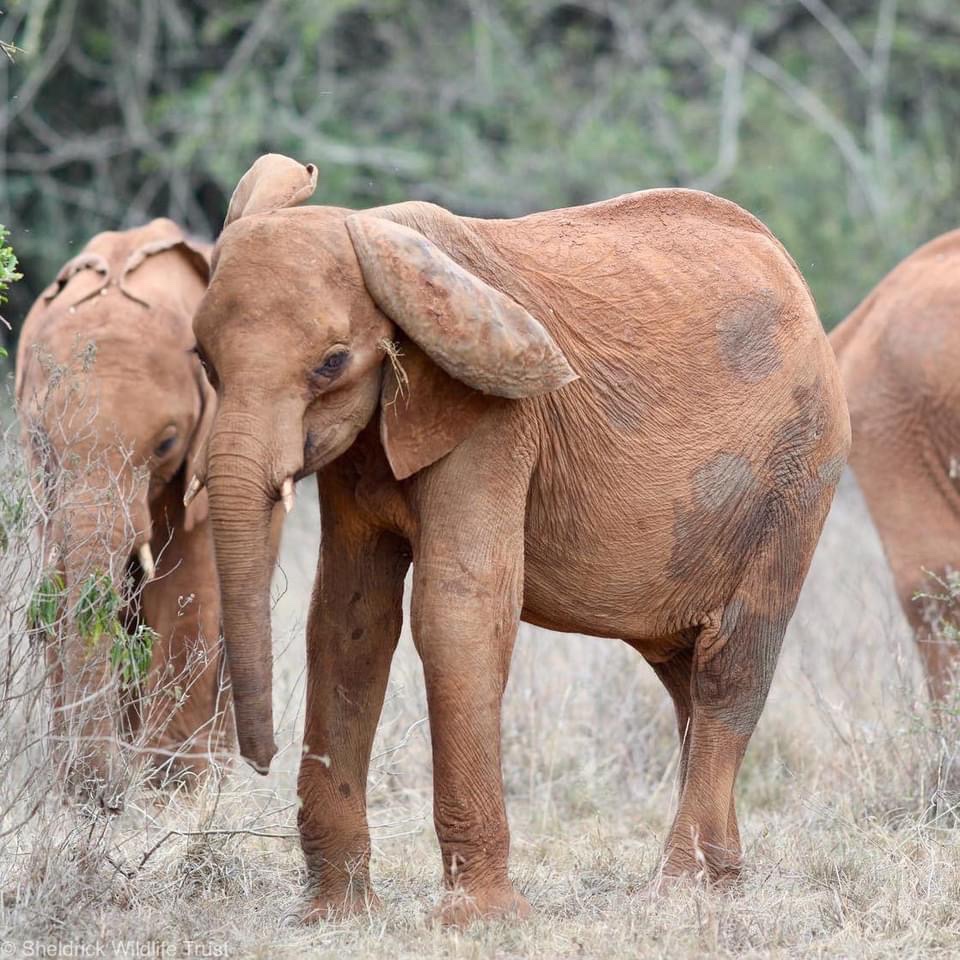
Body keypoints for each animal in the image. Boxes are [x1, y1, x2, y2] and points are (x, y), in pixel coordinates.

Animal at [15, 219, 234, 808]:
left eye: (167, 443)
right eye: (40, 439)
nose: (102, 796)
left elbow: (186, 593)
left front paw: (168, 795)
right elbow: (59, 587)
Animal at [191, 154, 852, 928]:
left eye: (330, 363)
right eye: (203, 361)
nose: (257, 761)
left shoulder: (496, 420)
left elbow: (457, 613)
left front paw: (480, 920)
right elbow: (348, 622)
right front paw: (337, 916)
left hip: (799, 469)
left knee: (729, 666)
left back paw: (677, 892)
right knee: (683, 673)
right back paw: (720, 883)